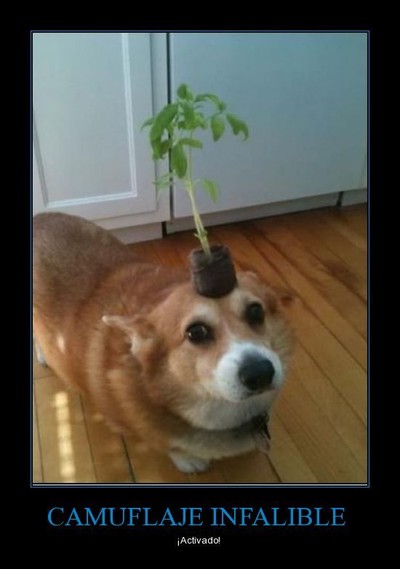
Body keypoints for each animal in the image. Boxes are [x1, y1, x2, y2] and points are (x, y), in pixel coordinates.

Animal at [33, 212, 294, 473]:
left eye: (256, 311)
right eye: (196, 332)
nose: (260, 373)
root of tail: (41, 217)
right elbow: (168, 444)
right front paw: (188, 459)